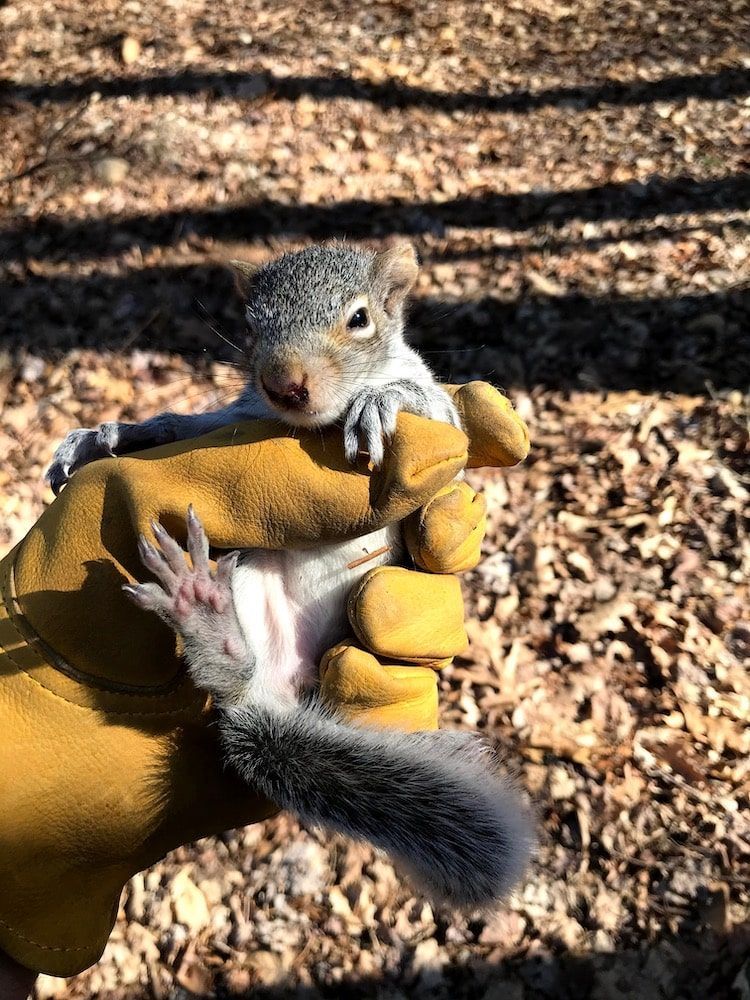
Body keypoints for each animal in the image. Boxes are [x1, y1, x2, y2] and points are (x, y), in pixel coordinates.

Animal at [46, 242, 533, 907]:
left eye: (360, 319)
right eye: (251, 329)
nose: (283, 385)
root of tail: (277, 689)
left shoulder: (443, 431)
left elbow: (435, 411)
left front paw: (385, 400)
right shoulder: (240, 415)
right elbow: (183, 426)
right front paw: (108, 436)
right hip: (250, 584)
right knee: (230, 674)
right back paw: (207, 618)